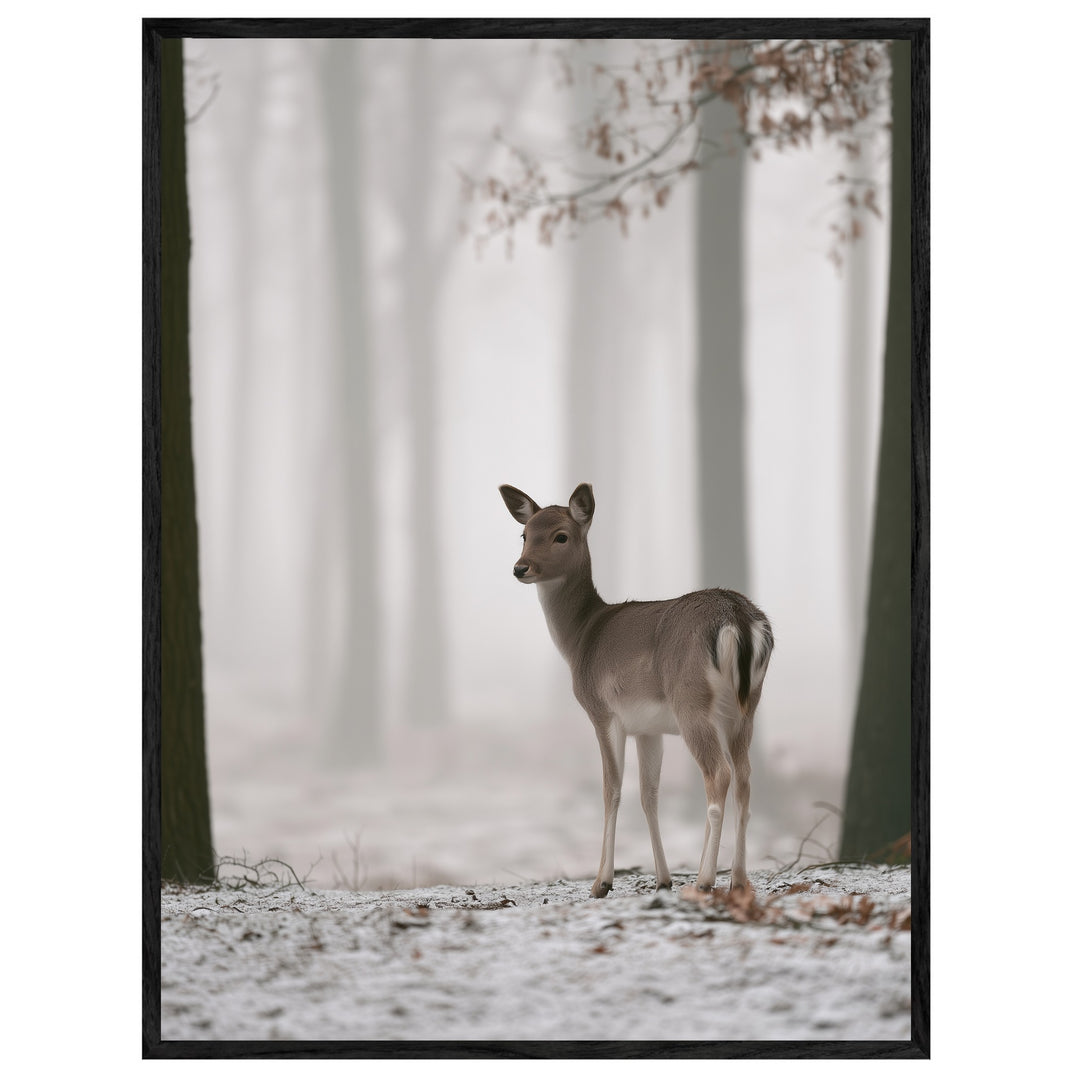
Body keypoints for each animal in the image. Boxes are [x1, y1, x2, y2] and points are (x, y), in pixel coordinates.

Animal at [499, 482, 773, 899]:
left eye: (561, 535)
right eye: (524, 534)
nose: (520, 567)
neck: (581, 638)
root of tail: (738, 619)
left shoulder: (603, 712)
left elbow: (611, 790)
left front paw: (601, 882)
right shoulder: (648, 727)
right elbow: (649, 794)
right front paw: (662, 879)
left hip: (692, 702)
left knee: (719, 775)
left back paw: (705, 879)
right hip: (747, 706)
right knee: (744, 778)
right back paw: (739, 880)